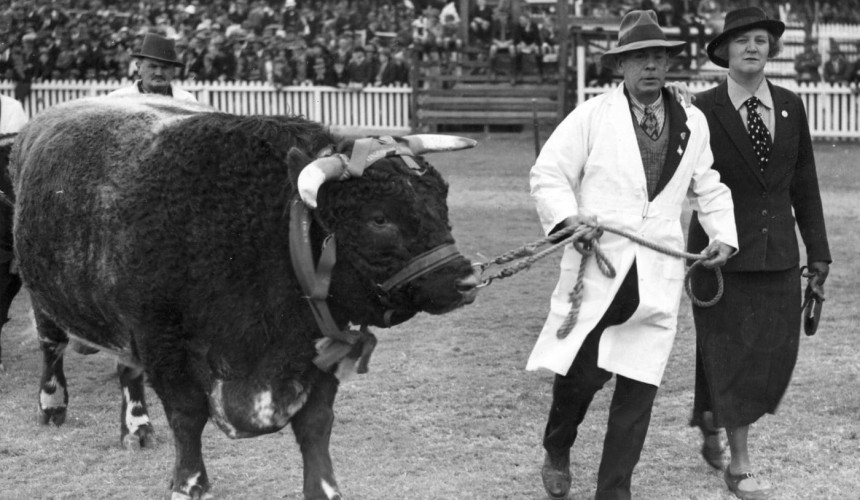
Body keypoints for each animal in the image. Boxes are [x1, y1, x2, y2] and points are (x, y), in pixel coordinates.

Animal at [11, 95, 481, 500]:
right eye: (379, 218)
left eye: (441, 199)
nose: (466, 280)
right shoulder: (162, 341)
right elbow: (187, 417)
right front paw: (190, 485)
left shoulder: (318, 341)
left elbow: (316, 422)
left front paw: (324, 489)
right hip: (47, 298)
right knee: (52, 346)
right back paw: (53, 404)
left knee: (127, 369)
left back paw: (136, 426)